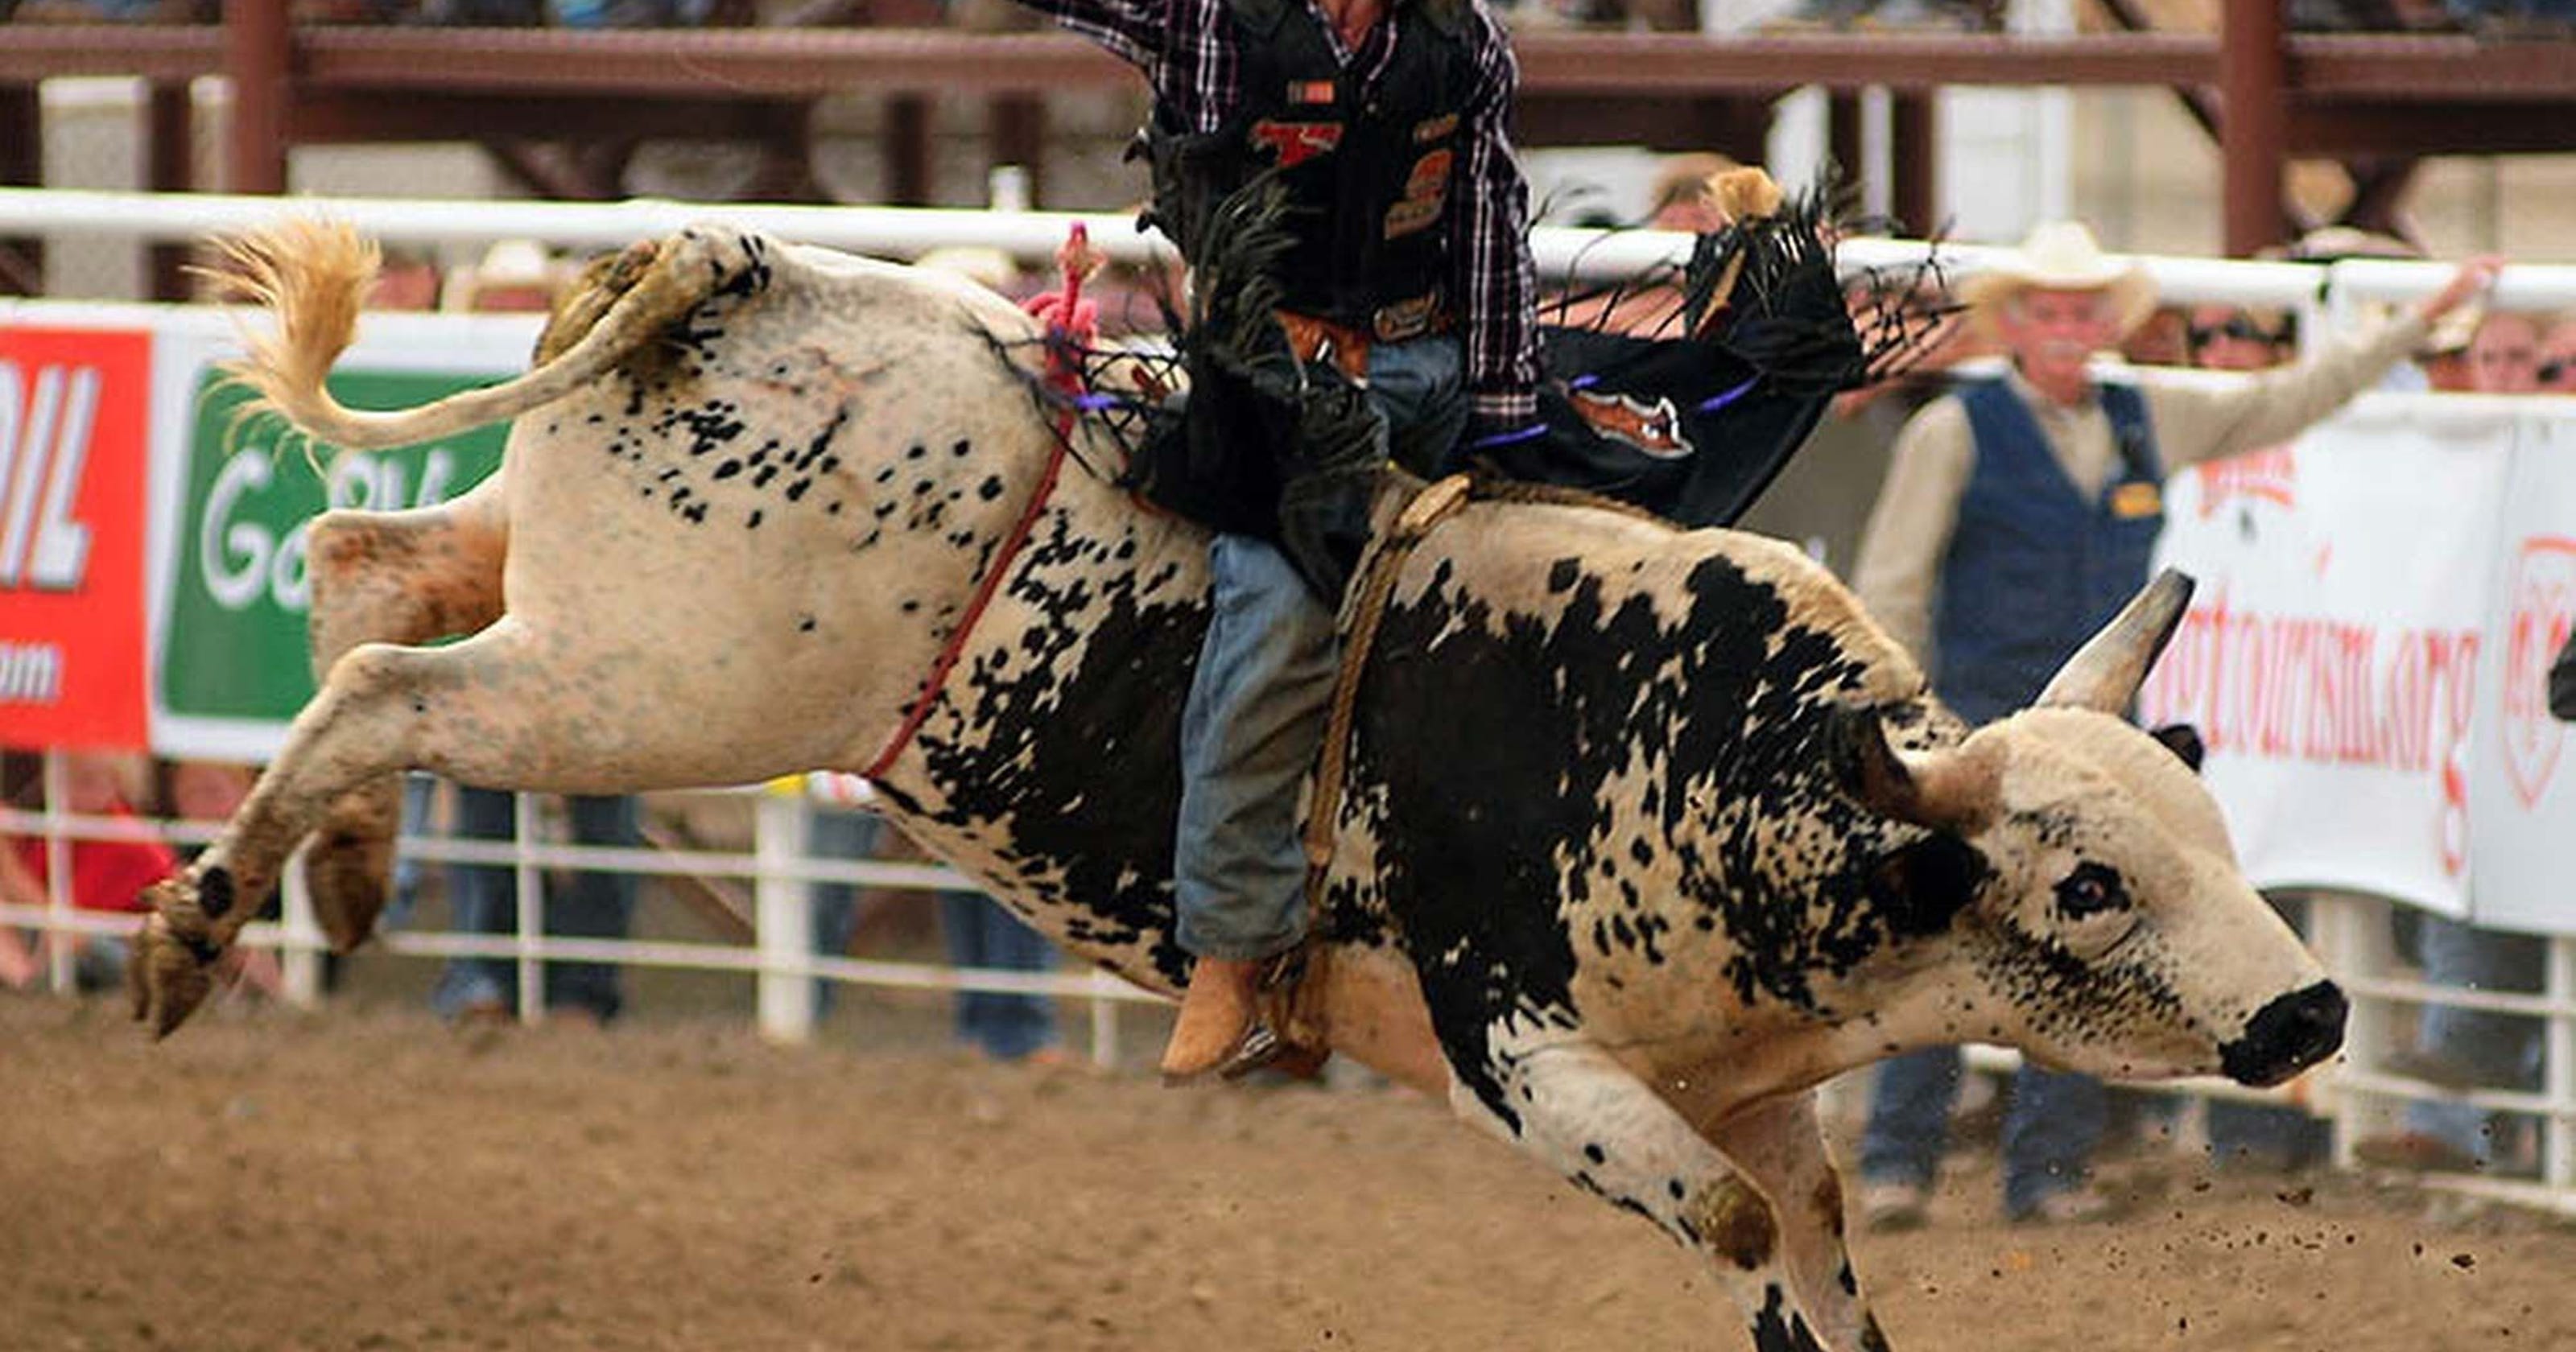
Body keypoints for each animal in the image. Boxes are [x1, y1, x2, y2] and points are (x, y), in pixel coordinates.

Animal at [132, 219, 2346, 1352]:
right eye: (2085, 885)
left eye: (2214, 832)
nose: (2314, 1006)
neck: (1710, 754)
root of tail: (733, 263)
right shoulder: (1518, 1049)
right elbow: (1723, 1225)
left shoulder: (1756, 1098)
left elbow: (1803, 1254)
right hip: (647, 688)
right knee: (389, 683)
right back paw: (191, 929)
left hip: (575, 589)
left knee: (361, 570)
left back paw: (332, 888)